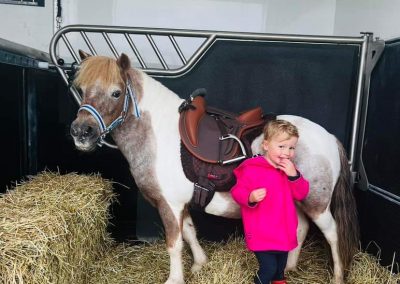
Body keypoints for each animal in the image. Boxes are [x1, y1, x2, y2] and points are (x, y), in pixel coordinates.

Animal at [69, 51, 360, 284]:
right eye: (81, 89)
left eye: (116, 92)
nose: (81, 132)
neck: (157, 135)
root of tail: (329, 138)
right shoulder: (182, 204)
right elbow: (189, 232)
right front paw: (200, 264)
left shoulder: (169, 205)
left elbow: (174, 243)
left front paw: (175, 278)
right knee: (300, 228)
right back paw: (289, 268)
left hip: (317, 203)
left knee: (332, 234)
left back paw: (337, 277)